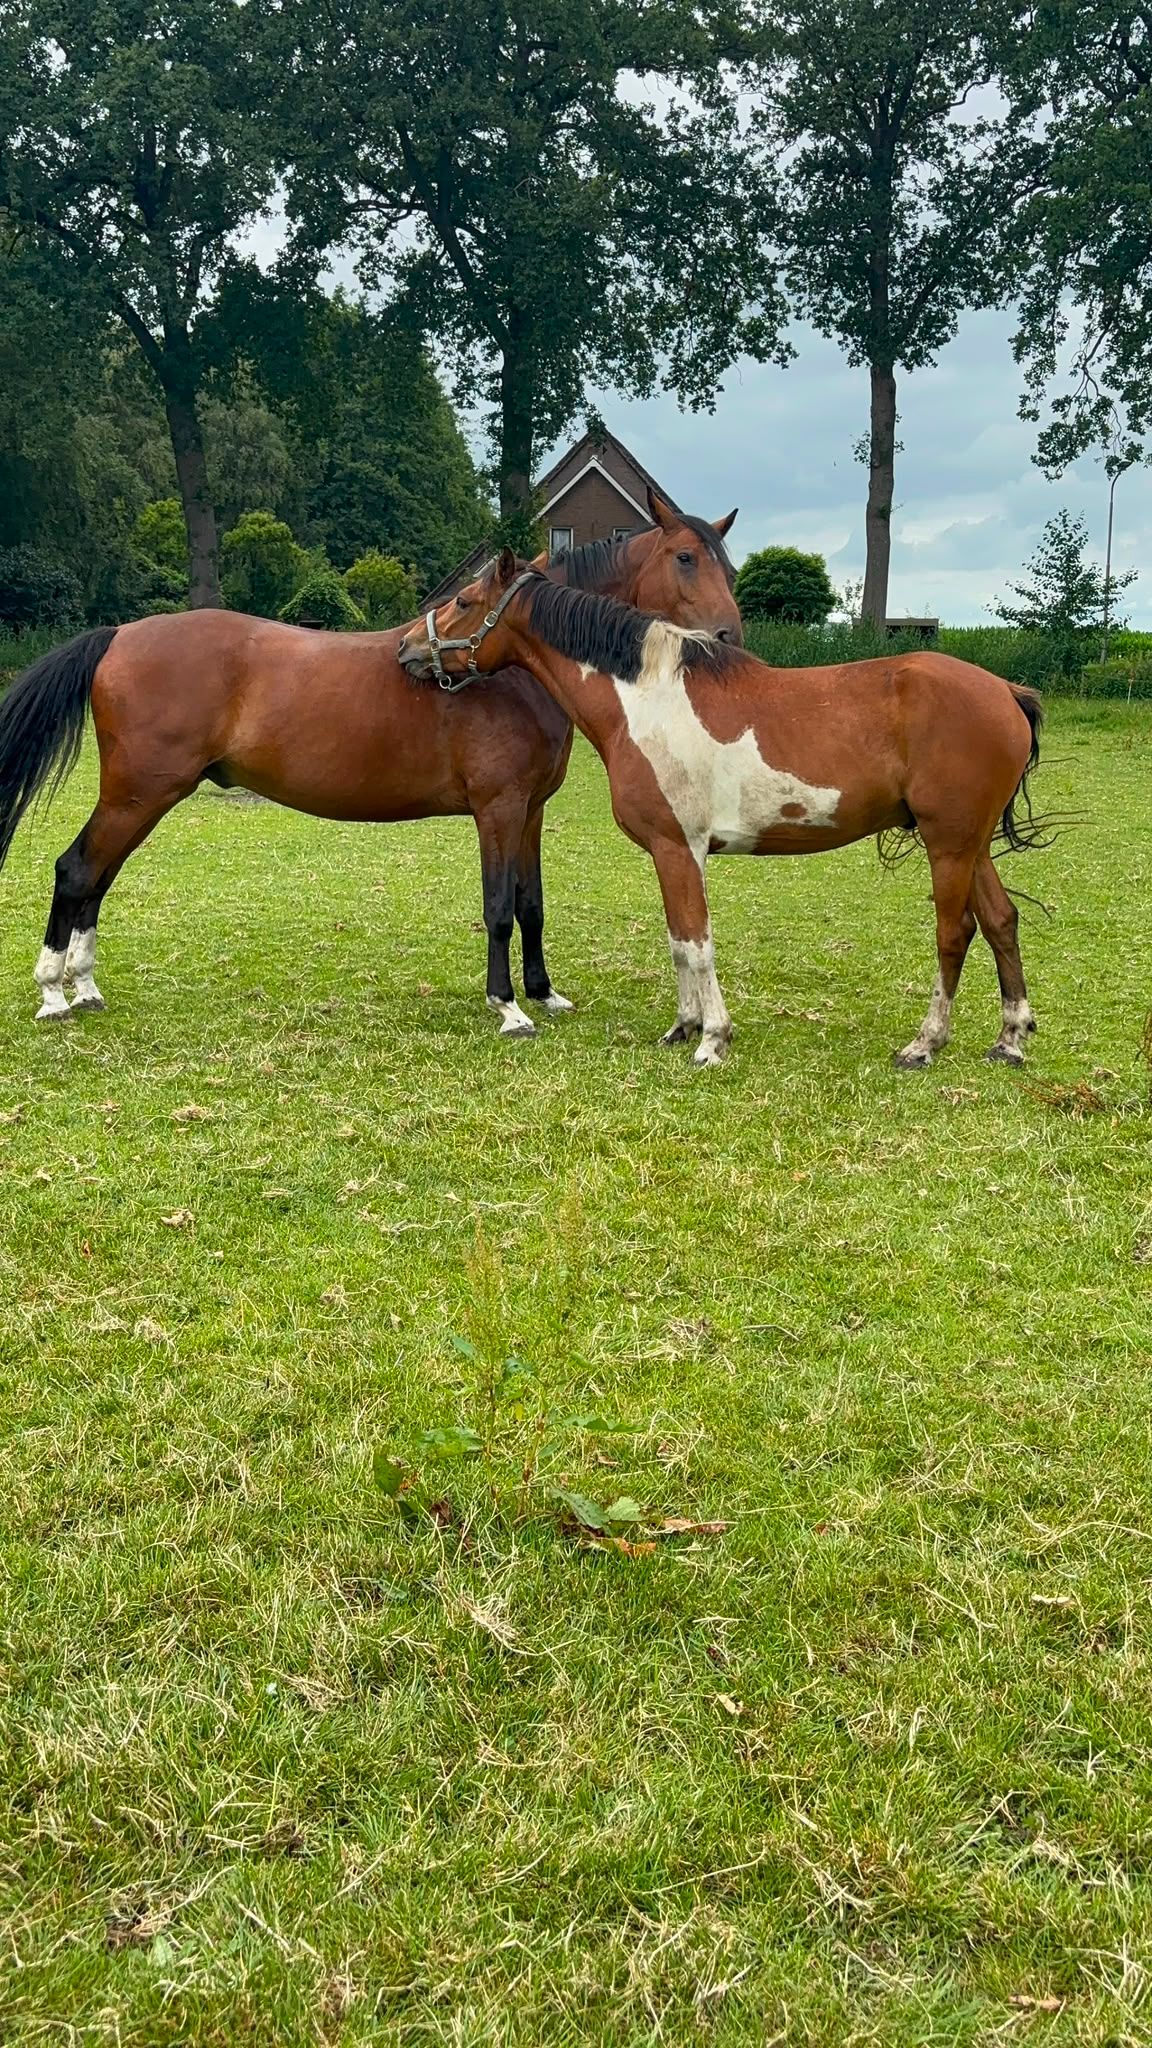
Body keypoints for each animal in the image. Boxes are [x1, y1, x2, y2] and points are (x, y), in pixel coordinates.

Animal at [0, 490, 740, 1033]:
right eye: (684, 558)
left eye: (726, 564)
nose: (730, 635)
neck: (513, 672)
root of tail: (120, 635)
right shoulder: (497, 810)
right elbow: (498, 906)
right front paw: (507, 1008)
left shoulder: (529, 811)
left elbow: (531, 905)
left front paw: (544, 994)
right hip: (138, 793)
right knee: (77, 871)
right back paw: (54, 994)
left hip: (141, 797)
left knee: (96, 879)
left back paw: (84, 986)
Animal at [398, 550, 1047, 1071]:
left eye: (464, 600)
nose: (407, 647)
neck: (646, 699)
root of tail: (1005, 692)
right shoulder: (675, 853)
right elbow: (679, 941)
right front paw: (682, 1028)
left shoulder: (678, 846)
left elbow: (696, 941)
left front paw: (712, 1039)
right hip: (970, 845)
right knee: (1001, 921)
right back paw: (1010, 1041)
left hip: (949, 844)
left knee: (955, 932)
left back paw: (925, 1044)